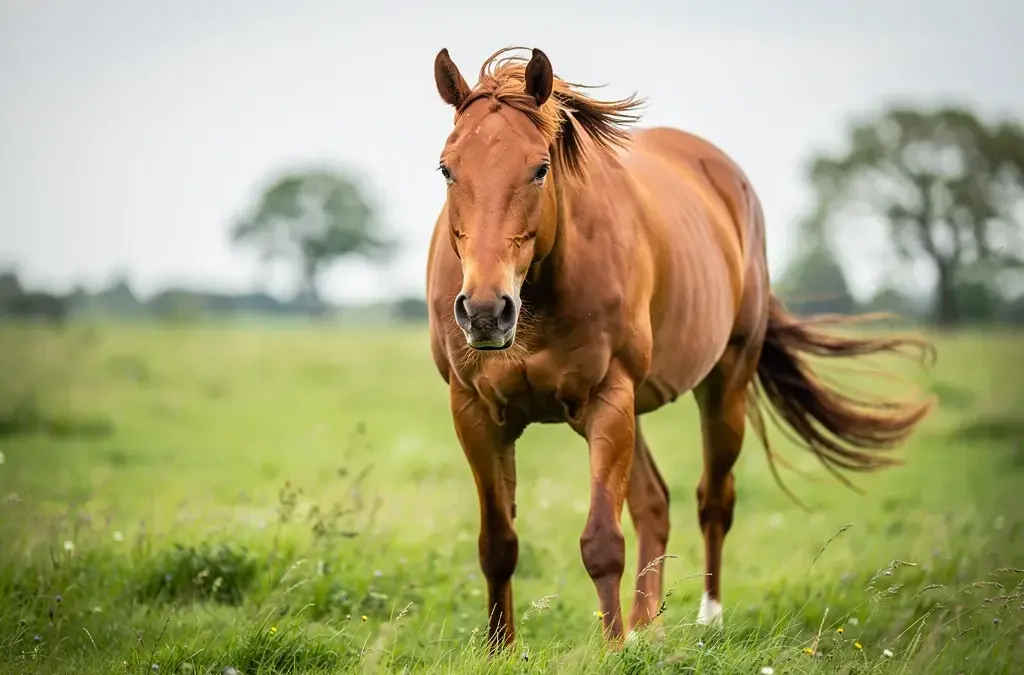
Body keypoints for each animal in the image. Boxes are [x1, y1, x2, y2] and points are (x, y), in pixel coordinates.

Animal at [424, 46, 933, 651]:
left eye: (540, 167)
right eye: (447, 168)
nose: (485, 310)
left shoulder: (608, 398)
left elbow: (602, 542)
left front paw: (612, 649)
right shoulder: (475, 411)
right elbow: (498, 544)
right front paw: (503, 649)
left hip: (723, 384)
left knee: (712, 500)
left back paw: (705, 620)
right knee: (654, 504)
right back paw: (648, 627)